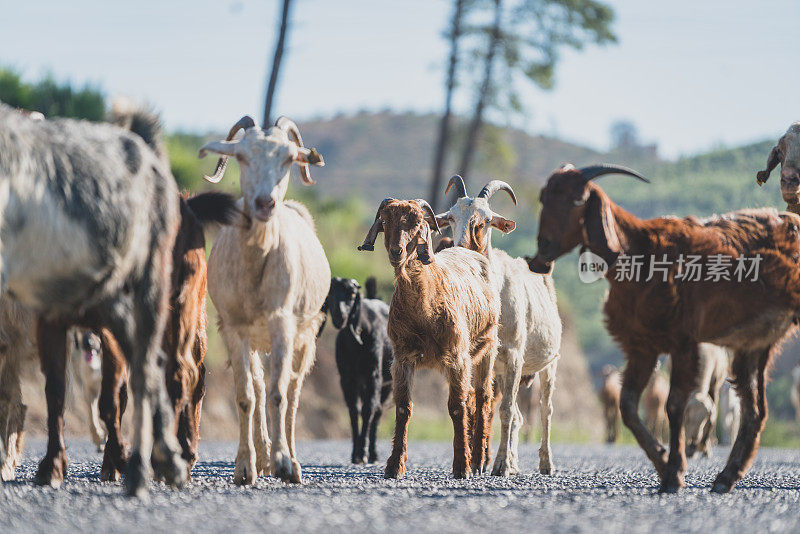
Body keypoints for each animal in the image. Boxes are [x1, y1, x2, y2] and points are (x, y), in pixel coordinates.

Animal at [200, 115, 332, 484]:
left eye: (288, 159)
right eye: (242, 156)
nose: (264, 203)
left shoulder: (282, 321)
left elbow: (279, 394)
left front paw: (285, 463)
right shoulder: (234, 327)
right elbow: (246, 395)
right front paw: (245, 468)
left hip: (305, 335)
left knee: (293, 390)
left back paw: (290, 460)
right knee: (259, 386)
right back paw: (262, 458)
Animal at [326, 278, 392, 462]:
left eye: (352, 294)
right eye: (330, 293)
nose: (339, 315)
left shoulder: (373, 375)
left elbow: (368, 410)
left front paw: (363, 452)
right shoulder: (347, 378)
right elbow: (354, 410)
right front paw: (355, 453)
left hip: (387, 384)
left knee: (378, 411)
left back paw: (374, 453)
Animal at [358, 199, 496, 480]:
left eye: (417, 222)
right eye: (385, 221)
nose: (396, 251)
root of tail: (469, 250)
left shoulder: (457, 357)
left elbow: (456, 407)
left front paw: (462, 466)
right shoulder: (402, 358)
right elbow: (404, 408)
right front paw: (394, 465)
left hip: (488, 347)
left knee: (482, 397)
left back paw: (478, 461)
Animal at [434, 176, 560, 478]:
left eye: (487, 219)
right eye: (451, 217)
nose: (463, 247)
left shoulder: (514, 353)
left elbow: (505, 410)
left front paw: (501, 464)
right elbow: (486, 404)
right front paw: (486, 463)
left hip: (549, 362)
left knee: (545, 410)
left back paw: (546, 463)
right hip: (502, 371)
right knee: (518, 414)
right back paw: (514, 462)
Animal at [528, 163, 800, 494]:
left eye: (578, 201)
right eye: (543, 197)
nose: (542, 255)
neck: (637, 252)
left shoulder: (683, 342)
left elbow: (674, 405)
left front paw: (674, 473)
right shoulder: (641, 346)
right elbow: (628, 406)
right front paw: (661, 461)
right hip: (754, 341)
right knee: (756, 409)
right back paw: (726, 477)